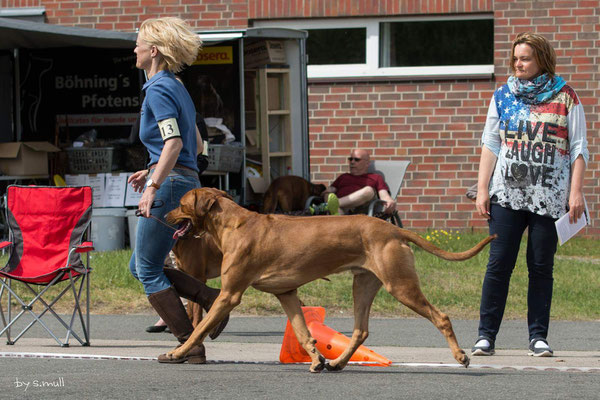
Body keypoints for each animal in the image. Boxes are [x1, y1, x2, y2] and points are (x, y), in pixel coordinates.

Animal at [166, 188, 494, 372]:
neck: (233, 224)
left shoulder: (230, 294)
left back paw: (461, 356)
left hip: (400, 285)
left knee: (441, 316)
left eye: (180, 203)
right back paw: (337, 363)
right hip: (363, 284)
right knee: (360, 331)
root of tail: (393, 229)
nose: (163, 214)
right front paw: (317, 360)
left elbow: (199, 329)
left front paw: (176, 353)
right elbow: (303, 333)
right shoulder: (287, 293)